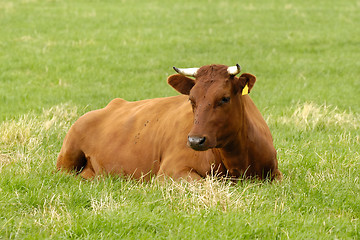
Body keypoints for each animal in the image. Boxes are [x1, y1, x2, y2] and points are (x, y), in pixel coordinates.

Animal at [57, 63, 282, 180]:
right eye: (191, 99)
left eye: (225, 98)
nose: (195, 140)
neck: (237, 160)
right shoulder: (171, 172)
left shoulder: (276, 174)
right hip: (67, 159)